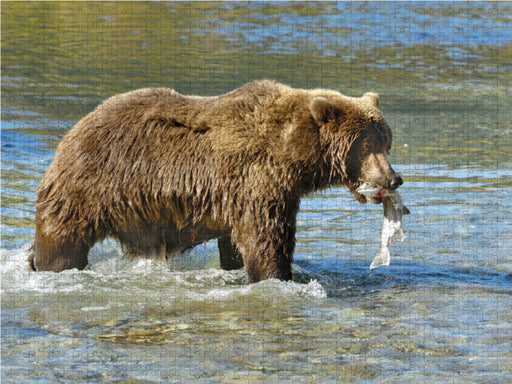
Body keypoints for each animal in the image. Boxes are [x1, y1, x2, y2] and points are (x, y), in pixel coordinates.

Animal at [29, 81, 404, 282]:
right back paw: (49, 266)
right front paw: (280, 276)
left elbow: (235, 244)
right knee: (61, 241)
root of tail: (73, 130)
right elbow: (265, 240)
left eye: (386, 142)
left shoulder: (240, 194)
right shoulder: (257, 179)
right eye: (365, 145)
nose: (393, 178)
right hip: (89, 187)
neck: (291, 155)